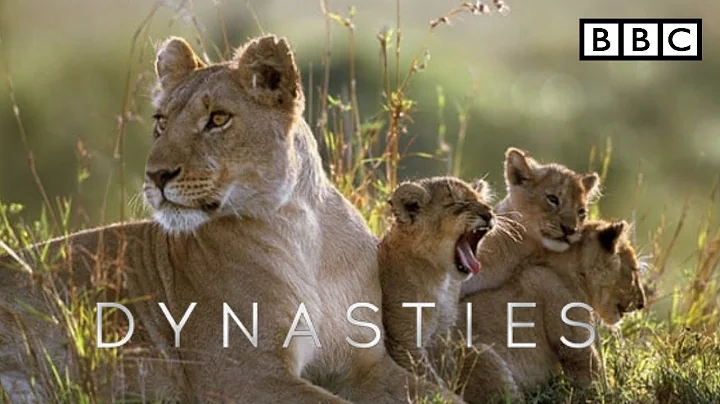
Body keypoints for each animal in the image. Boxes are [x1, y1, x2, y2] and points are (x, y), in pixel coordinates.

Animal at [0, 35, 453, 403]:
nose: (156, 175)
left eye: (218, 119)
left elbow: (441, 395)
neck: (301, 230)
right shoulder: (241, 375)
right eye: (161, 122)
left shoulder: (364, 364)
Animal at [458, 220, 647, 401]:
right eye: (634, 270)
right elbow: (593, 377)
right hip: (479, 355)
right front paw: (615, 394)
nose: (642, 303)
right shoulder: (574, 346)